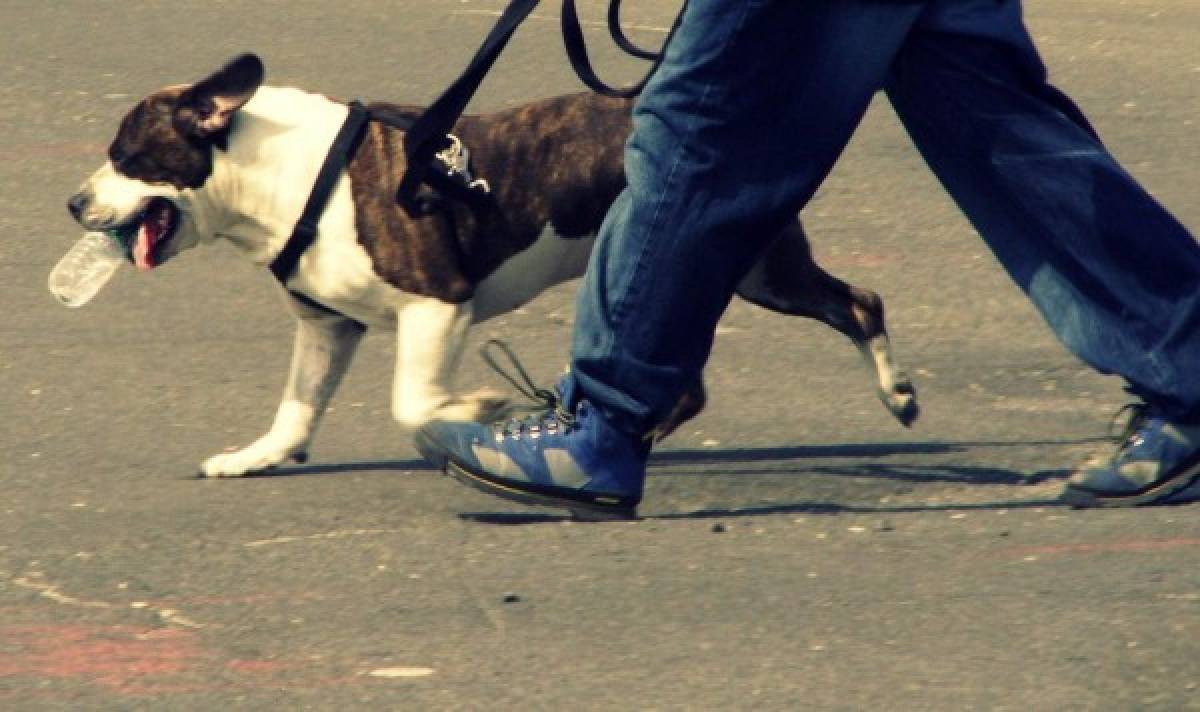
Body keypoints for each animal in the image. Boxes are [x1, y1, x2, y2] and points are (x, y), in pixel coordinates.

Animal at [68, 54, 916, 477]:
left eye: (126, 155)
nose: (75, 203)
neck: (280, 170)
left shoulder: (437, 304)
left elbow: (414, 401)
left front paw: (480, 407)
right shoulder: (327, 326)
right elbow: (297, 405)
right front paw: (261, 457)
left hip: (760, 268)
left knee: (861, 303)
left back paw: (898, 393)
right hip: (728, 268)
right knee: (696, 381)